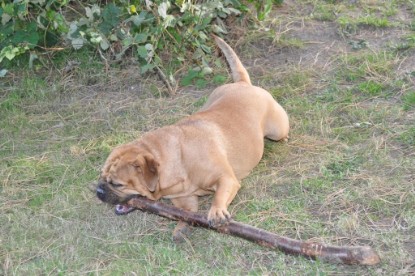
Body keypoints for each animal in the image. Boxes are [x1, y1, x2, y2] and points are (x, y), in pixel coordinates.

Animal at [96, 35, 290, 240]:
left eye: (117, 184)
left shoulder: (226, 178)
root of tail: (243, 83)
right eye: (101, 177)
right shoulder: (184, 198)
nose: (98, 190)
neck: (178, 160)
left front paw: (216, 211)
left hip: (277, 129)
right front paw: (182, 227)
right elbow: (187, 212)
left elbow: (219, 195)